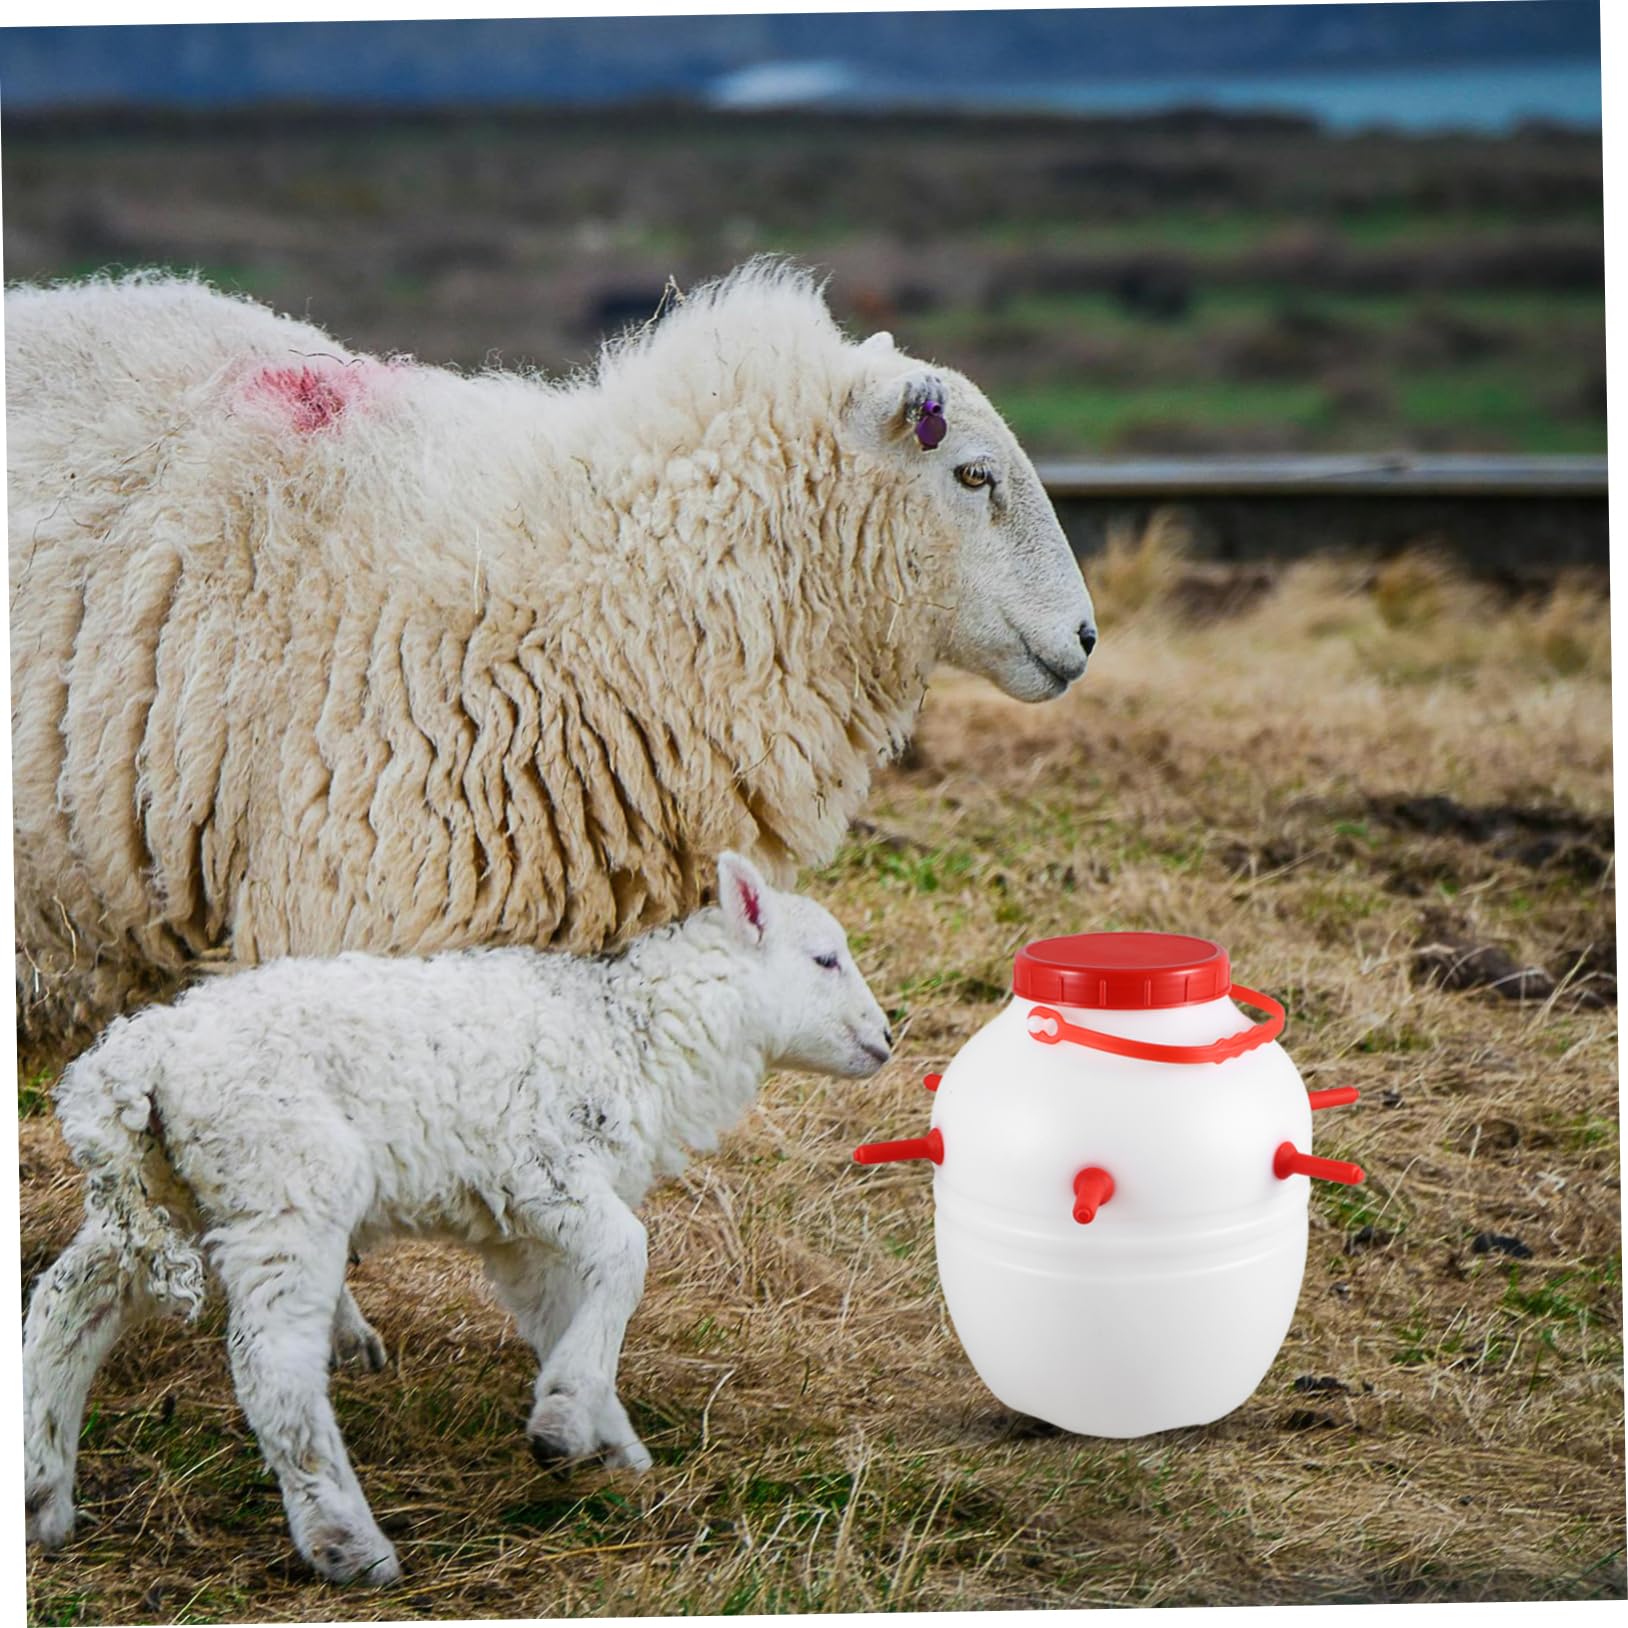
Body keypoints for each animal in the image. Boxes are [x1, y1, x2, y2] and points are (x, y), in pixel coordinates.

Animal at [23, 853, 891, 1585]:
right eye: (824, 959)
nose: (886, 1038)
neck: (635, 1031)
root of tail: (132, 1057)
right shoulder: (540, 1166)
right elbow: (628, 1254)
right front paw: (567, 1416)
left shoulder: (520, 1231)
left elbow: (560, 1310)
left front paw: (602, 1436)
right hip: (283, 1179)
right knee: (272, 1366)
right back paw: (349, 1545)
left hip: (165, 1189)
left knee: (68, 1303)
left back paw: (41, 1494)